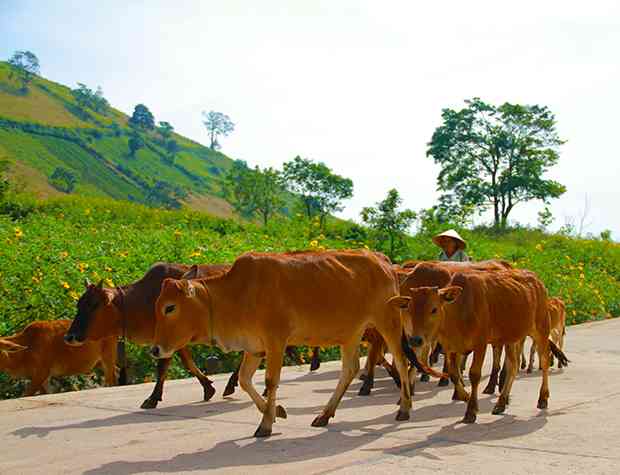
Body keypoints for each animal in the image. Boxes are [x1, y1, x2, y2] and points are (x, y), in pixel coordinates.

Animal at [64, 264, 229, 410]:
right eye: (78, 304)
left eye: (94, 305)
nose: (69, 337)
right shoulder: (173, 342)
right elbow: (188, 363)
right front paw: (208, 388)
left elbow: (162, 368)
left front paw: (152, 399)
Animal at [150, 249, 412, 438]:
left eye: (170, 307)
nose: (155, 349)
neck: (235, 295)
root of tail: (383, 261)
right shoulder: (254, 347)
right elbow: (244, 380)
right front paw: (276, 411)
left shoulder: (275, 342)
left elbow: (270, 381)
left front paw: (265, 424)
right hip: (352, 333)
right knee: (349, 369)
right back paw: (324, 415)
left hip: (387, 322)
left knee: (401, 361)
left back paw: (404, 408)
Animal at [390, 268, 568, 424]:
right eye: (409, 310)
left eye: (434, 309)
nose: (415, 340)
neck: (459, 310)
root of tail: (537, 280)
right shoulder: (451, 347)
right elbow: (454, 374)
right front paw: (465, 396)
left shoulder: (480, 344)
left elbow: (474, 374)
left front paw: (471, 411)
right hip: (512, 339)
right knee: (513, 366)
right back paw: (501, 403)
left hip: (541, 330)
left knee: (544, 361)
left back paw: (543, 398)